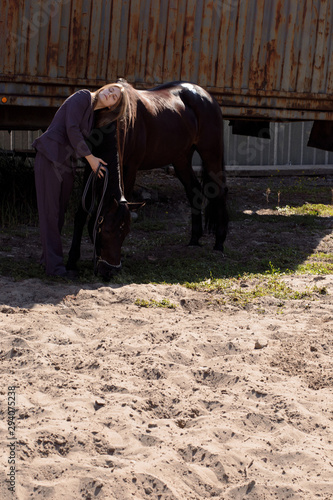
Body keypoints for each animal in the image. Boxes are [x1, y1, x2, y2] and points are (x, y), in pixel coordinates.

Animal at [67, 80, 228, 280]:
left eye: (124, 233)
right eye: (106, 230)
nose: (110, 271)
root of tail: (208, 97)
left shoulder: (130, 167)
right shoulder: (92, 166)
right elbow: (82, 213)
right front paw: (72, 262)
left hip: (211, 154)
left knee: (219, 191)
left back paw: (219, 243)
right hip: (181, 158)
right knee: (194, 191)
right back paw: (194, 239)